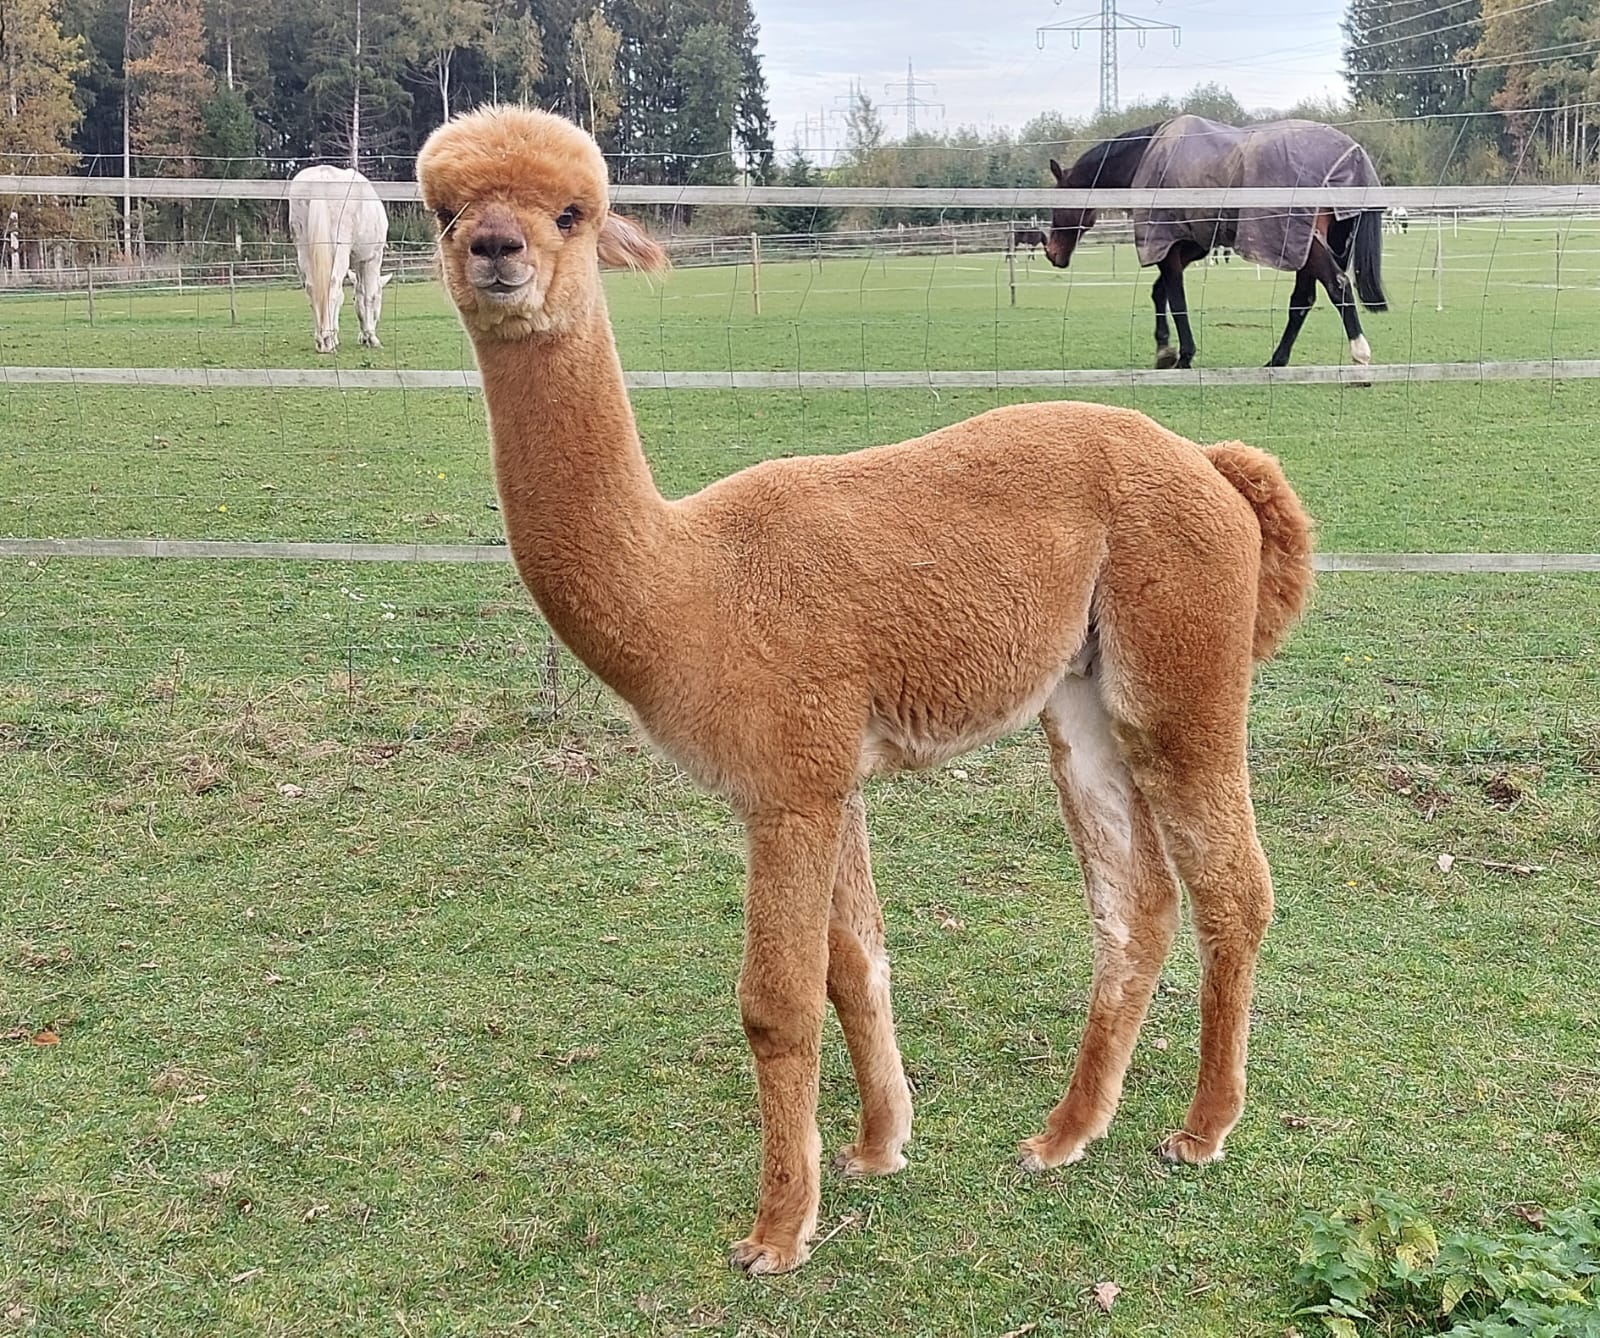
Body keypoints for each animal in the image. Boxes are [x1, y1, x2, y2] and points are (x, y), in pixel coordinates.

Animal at [287, 165, 391, 354]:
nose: (362, 339)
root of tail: (321, 176)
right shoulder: (371, 258)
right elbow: (369, 295)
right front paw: (371, 337)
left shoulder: (358, 261)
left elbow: (353, 295)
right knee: (332, 285)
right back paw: (327, 340)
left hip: (304, 249)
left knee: (312, 287)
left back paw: (321, 339)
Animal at [415, 106, 1315, 1276]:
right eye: (441, 211)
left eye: (573, 212)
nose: (495, 248)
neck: (692, 584)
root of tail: (1211, 464)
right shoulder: (826, 774)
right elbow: (858, 967)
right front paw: (879, 1146)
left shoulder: (788, 783)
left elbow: (777, 1003)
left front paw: (776, 1233)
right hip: (1079, 697)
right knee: (1136, 906)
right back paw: (1066, 1133)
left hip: (1180, 667)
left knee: (1234, 889)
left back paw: (1201, 1130)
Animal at [1045, 115, 1388, 369]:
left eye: (1056, 203)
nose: (1052, 253)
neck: (1145, 157)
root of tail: (1352, 153)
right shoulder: (1188, 244)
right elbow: (1160, 292)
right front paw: (1164, 351)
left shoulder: (1166, 244)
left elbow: (1176, 298)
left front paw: (1183, 355)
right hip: (1310, 246)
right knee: (1302, 300)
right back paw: (1276, 360)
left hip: (1307, 244)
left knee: (1338, 286)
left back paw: (1359, 353)